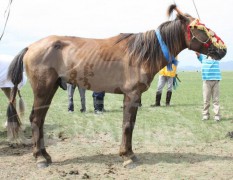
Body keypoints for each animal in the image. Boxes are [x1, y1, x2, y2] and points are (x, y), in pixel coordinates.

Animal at [6, 4, 226, 168]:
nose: (222, 50)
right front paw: (127, 156)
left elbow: (130, 124)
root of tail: (30, 46)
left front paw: (129, 153)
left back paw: (44, 155)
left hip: (49, 89)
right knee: (36, 119)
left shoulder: (134, 97)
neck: (142, 53)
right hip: (43, 90)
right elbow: (127, 125)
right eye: (200, 29)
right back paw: (40, 158)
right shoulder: (131, 95)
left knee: (40, 120)